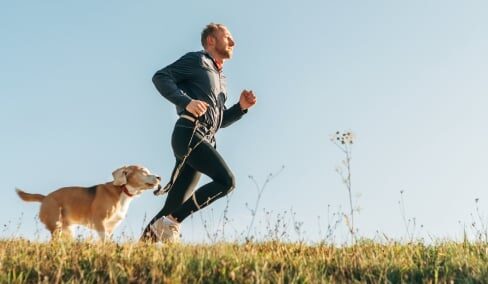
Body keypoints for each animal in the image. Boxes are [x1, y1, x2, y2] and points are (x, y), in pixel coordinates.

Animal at [16, 164, 161, 240]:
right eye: (144, 172)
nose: (159, 177)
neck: (122, 191)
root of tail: (45, 197)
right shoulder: (99, 222)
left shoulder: (110, 227)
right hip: (56, 226)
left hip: (67, 230)